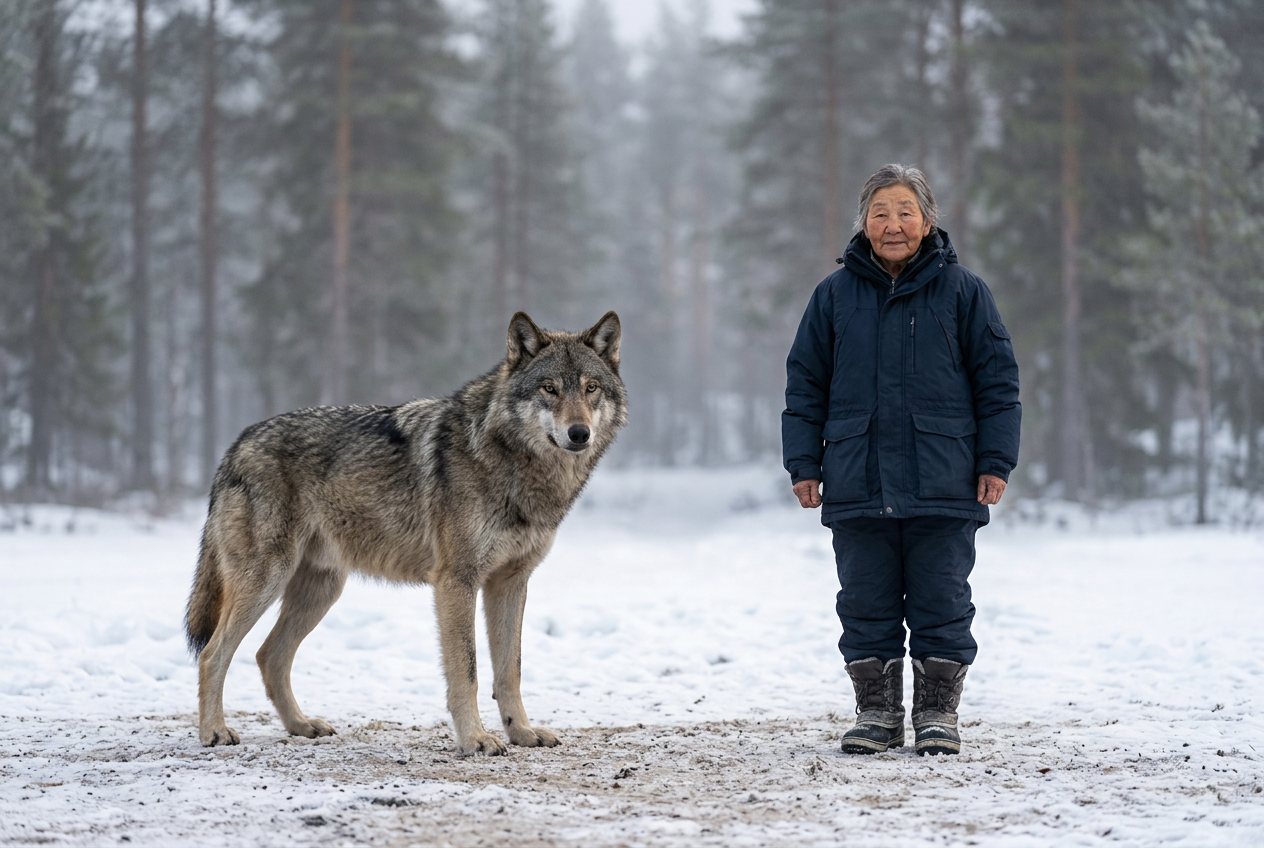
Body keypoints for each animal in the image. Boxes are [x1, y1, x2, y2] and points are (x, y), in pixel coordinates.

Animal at [184, 311, 626, 754]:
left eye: (590, 388)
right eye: (549, 388)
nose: (579, 433)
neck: (513, 462)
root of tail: (236, 445)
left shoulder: (510, 583)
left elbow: (510, 671)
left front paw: (521, 732)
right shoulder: (457, 582)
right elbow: (467, 671)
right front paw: (475, 739)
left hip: (321, 591)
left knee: (269, 656)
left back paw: (301, 725)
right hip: (267, 582)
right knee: (212, 654)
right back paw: (215, 732)